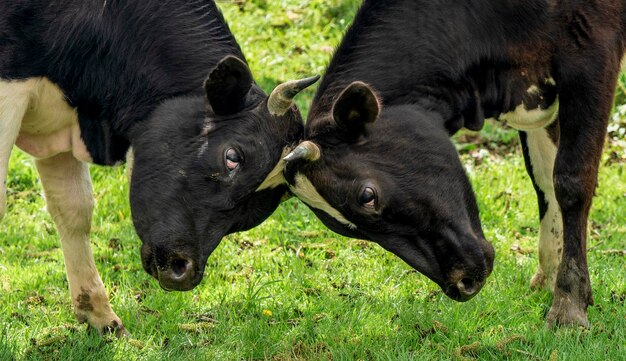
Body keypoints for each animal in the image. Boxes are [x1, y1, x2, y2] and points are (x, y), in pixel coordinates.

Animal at [284, 0, 624, 326]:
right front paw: (550, 279)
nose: (462, 284)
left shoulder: (592, 49)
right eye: (347, 230)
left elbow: (570, 181)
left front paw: (569, 304)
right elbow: (543, 178)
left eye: (367, 196)